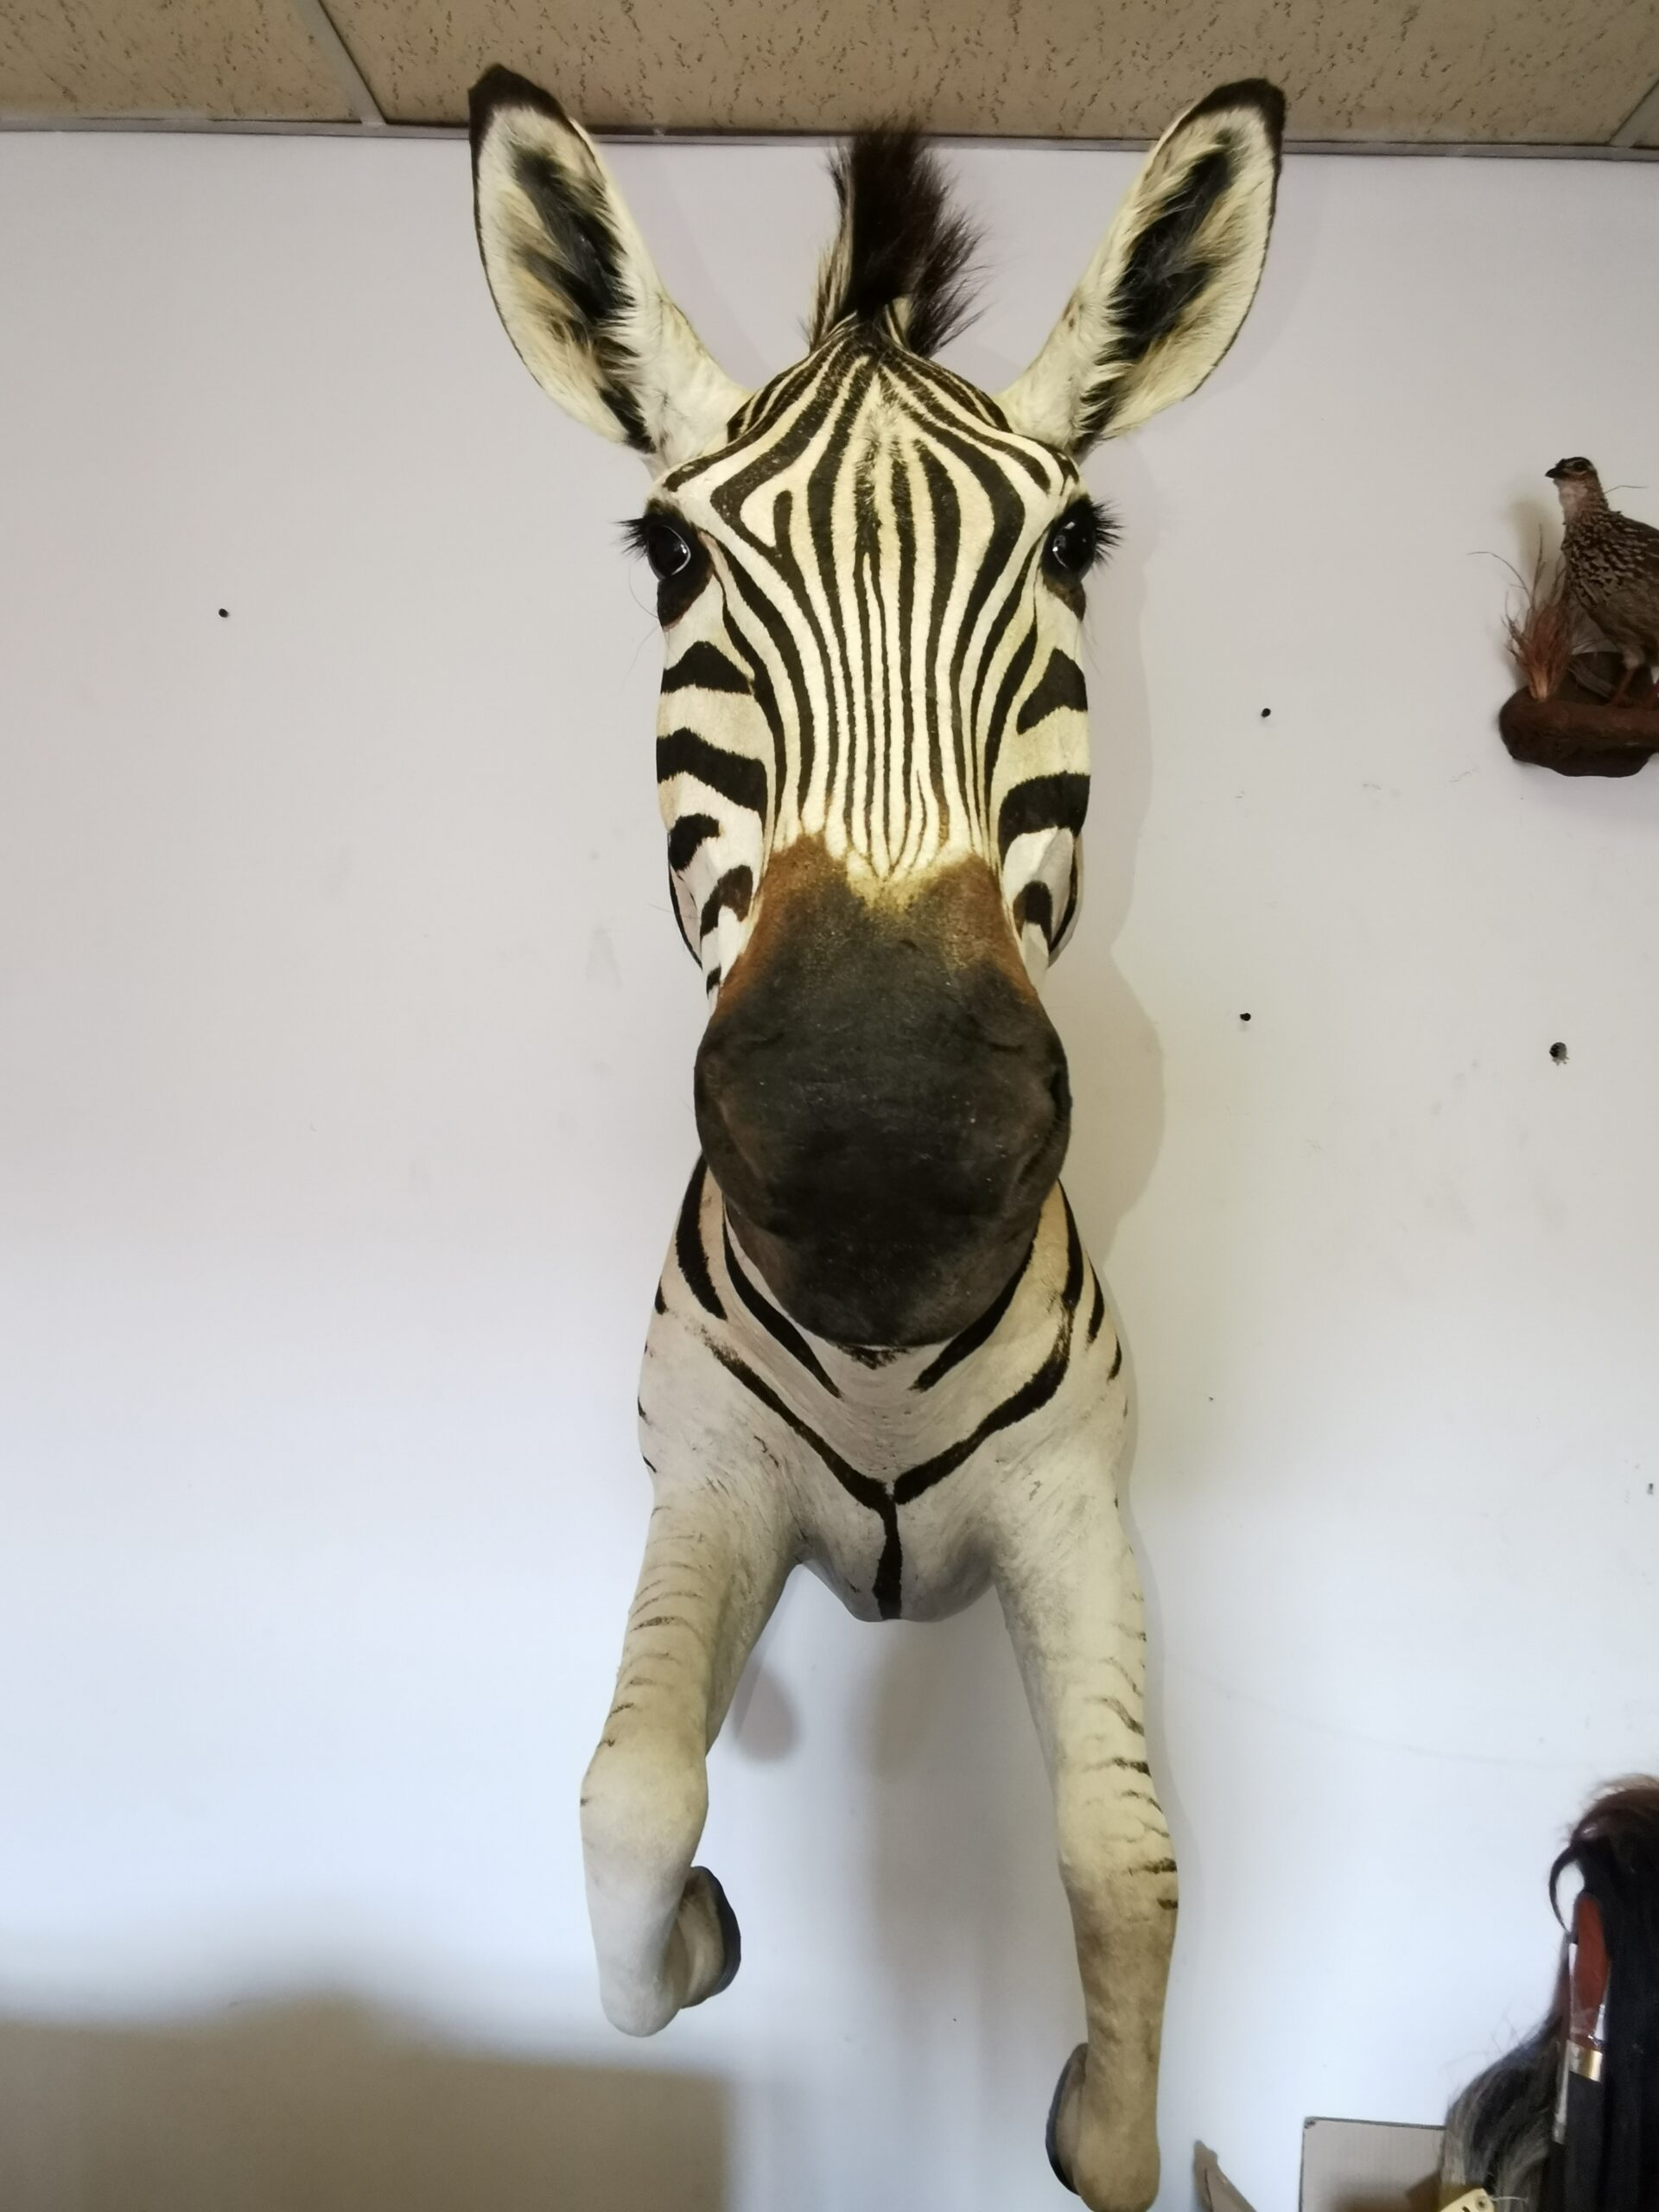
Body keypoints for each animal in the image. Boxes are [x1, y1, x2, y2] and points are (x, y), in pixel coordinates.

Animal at [470, 69, 1283, 2212]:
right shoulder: (715, 1487)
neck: (882, 1361)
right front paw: (701, 1937)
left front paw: (1097, 2123)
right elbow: (630, 1793)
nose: (882, 1151)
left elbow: (1126, 1853)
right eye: (666, 559)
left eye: (1076, 540)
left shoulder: (1075, 1506)